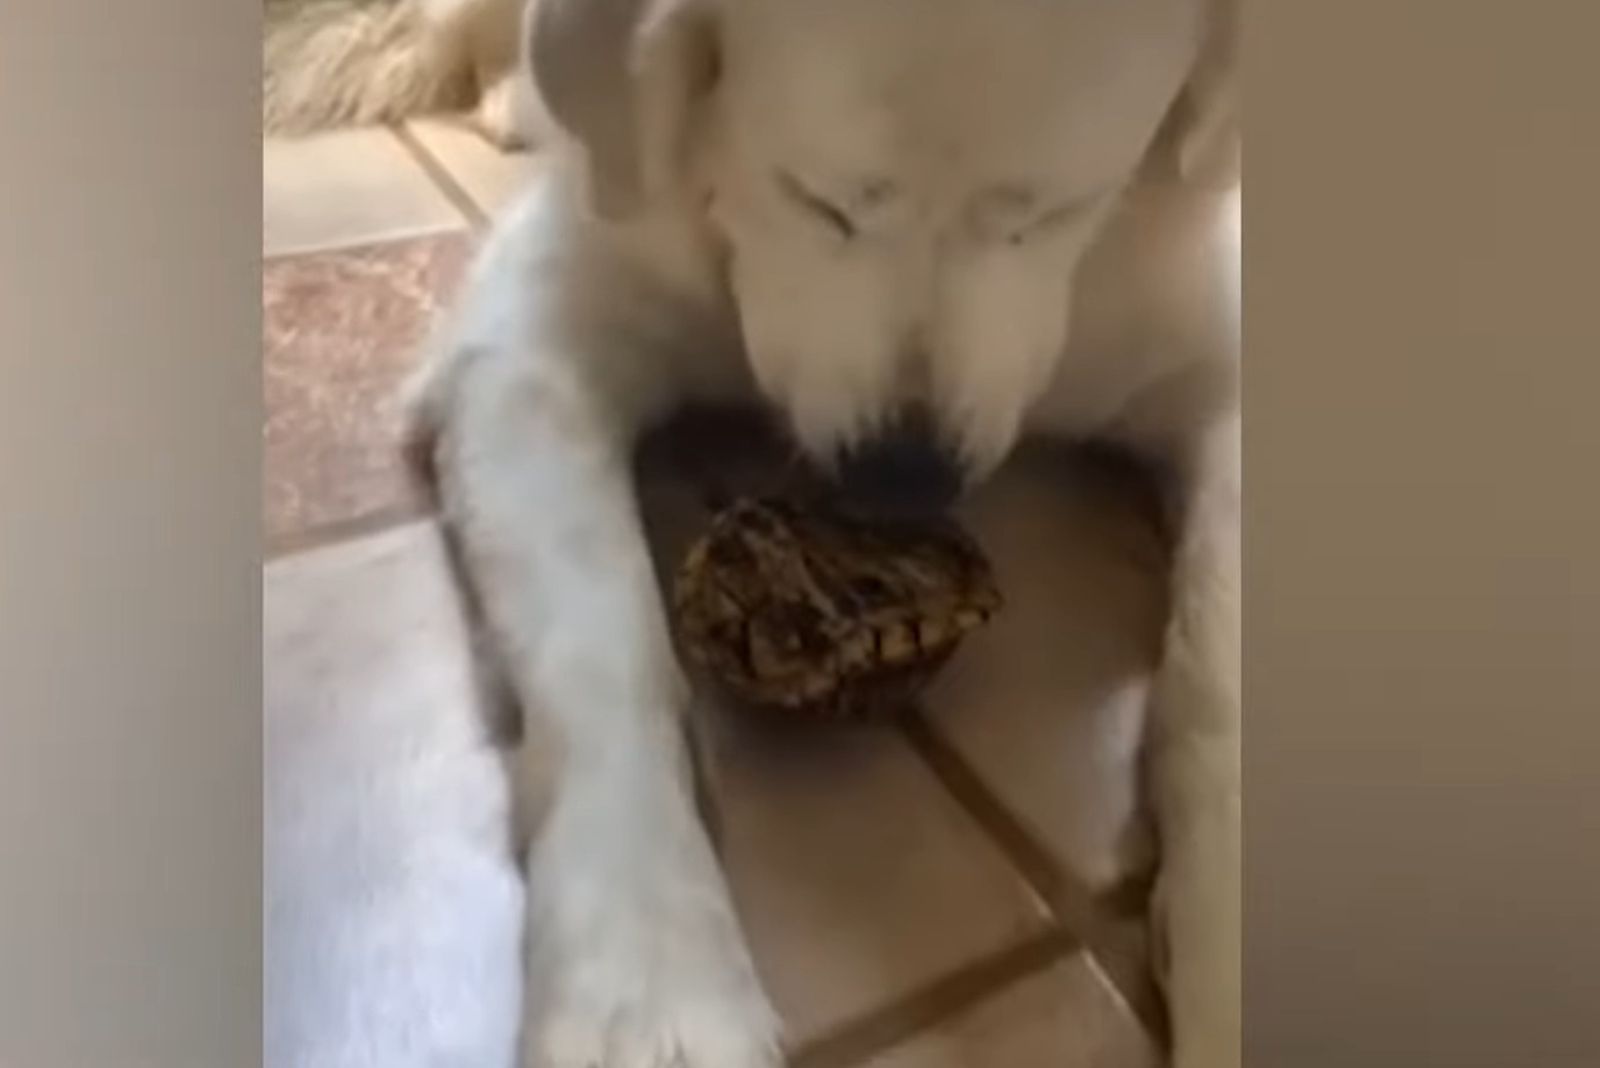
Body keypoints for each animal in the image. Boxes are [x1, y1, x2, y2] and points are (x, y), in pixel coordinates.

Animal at [409, 4, 1235, 1061]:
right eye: (816, 201)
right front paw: (649, 981)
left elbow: (1217, 684)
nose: (905, 475)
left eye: (1056, 213)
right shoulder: (531, 346)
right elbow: (600, 661)